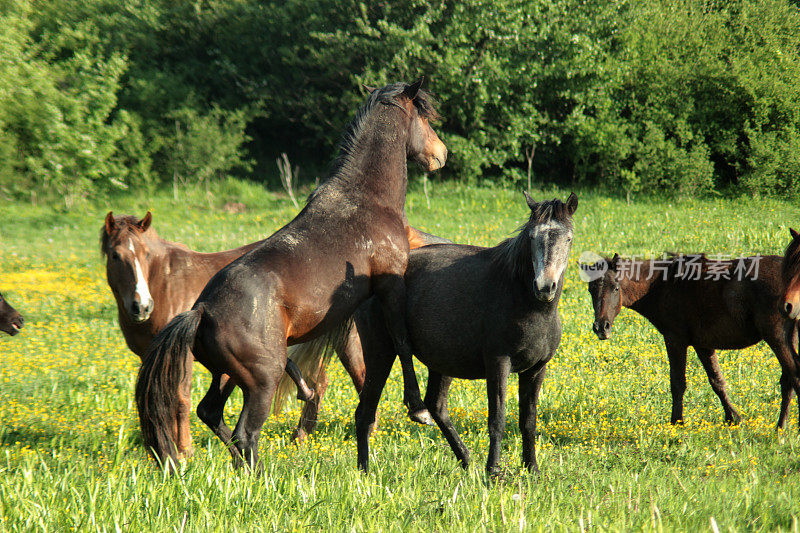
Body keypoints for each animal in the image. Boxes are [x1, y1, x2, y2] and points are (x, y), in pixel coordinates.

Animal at [138, 80, 450, 470]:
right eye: (424, 117)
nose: (442, 153)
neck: (366, 200)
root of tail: (202, 311)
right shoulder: (391, 284)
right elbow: (402, 341)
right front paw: (418, 409)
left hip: (228, 375)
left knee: (211, 413)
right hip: (261, 382)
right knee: (245, 433)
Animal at [588, 252, 800, 428]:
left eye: (615, 288)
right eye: (591, 290)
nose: (601, 328)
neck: (662, 285)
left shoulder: (675, 340)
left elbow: (678, 383)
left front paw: (677, 422)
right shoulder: (703, 345)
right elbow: (717, 381)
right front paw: (733, 418)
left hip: (777, 338)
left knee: (794, 376)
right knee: (787, 380)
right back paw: (781, 426)